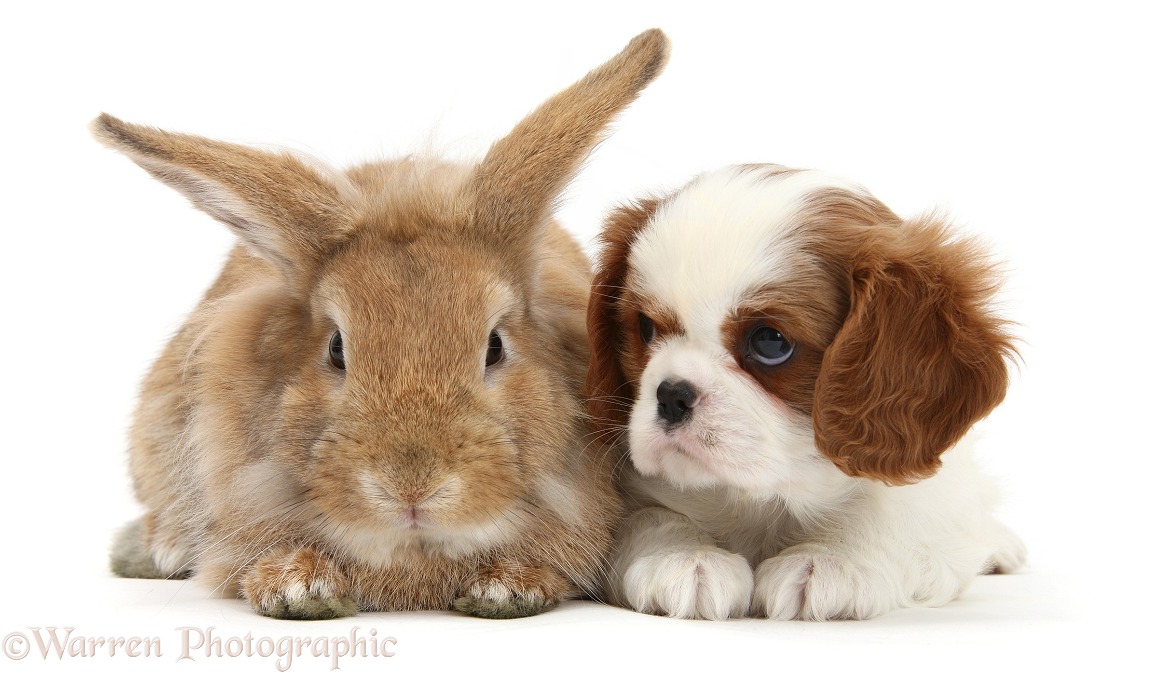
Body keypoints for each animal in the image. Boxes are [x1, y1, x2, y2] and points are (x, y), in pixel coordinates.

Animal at [586, 161, 1024, 619]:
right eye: (645, 327)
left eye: (770, 342)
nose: (671, 395)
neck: (765, 498)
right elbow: (648, 517)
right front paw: (682, 555)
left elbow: (891, 516)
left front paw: (829, 559)